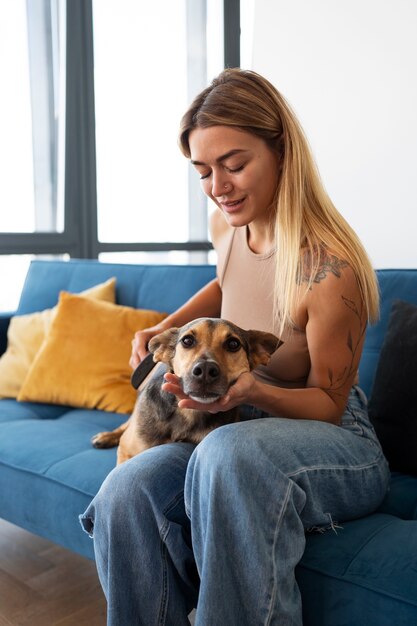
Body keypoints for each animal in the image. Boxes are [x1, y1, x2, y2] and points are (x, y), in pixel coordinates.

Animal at [91, 316, 280, 464]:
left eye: (233, 344)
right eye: (187, 341)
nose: (205, 370)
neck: (188, 414)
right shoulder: (126, 451)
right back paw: (107, 436)